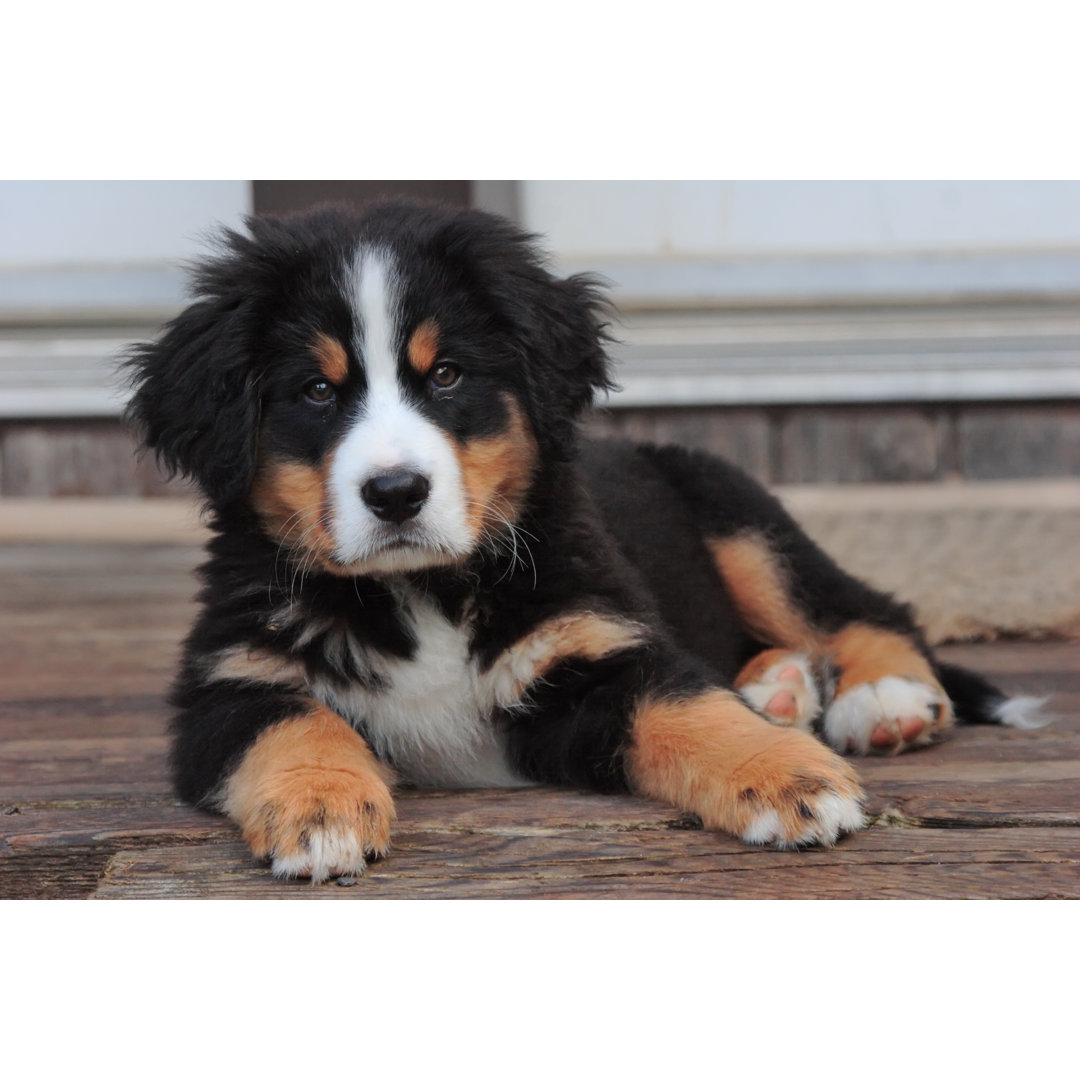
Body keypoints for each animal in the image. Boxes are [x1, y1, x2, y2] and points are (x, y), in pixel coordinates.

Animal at [124, 198, 1045, 881]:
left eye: (447, 375)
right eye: (316, 392)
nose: (395, 493)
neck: (424, 590)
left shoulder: (597, 645)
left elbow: (689, 708)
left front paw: (789, 775)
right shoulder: (228, 680)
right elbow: (293, 723)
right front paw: (320, 808)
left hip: (740, 517)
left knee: (863, 607)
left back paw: (880, 701)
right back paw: (781, 689)